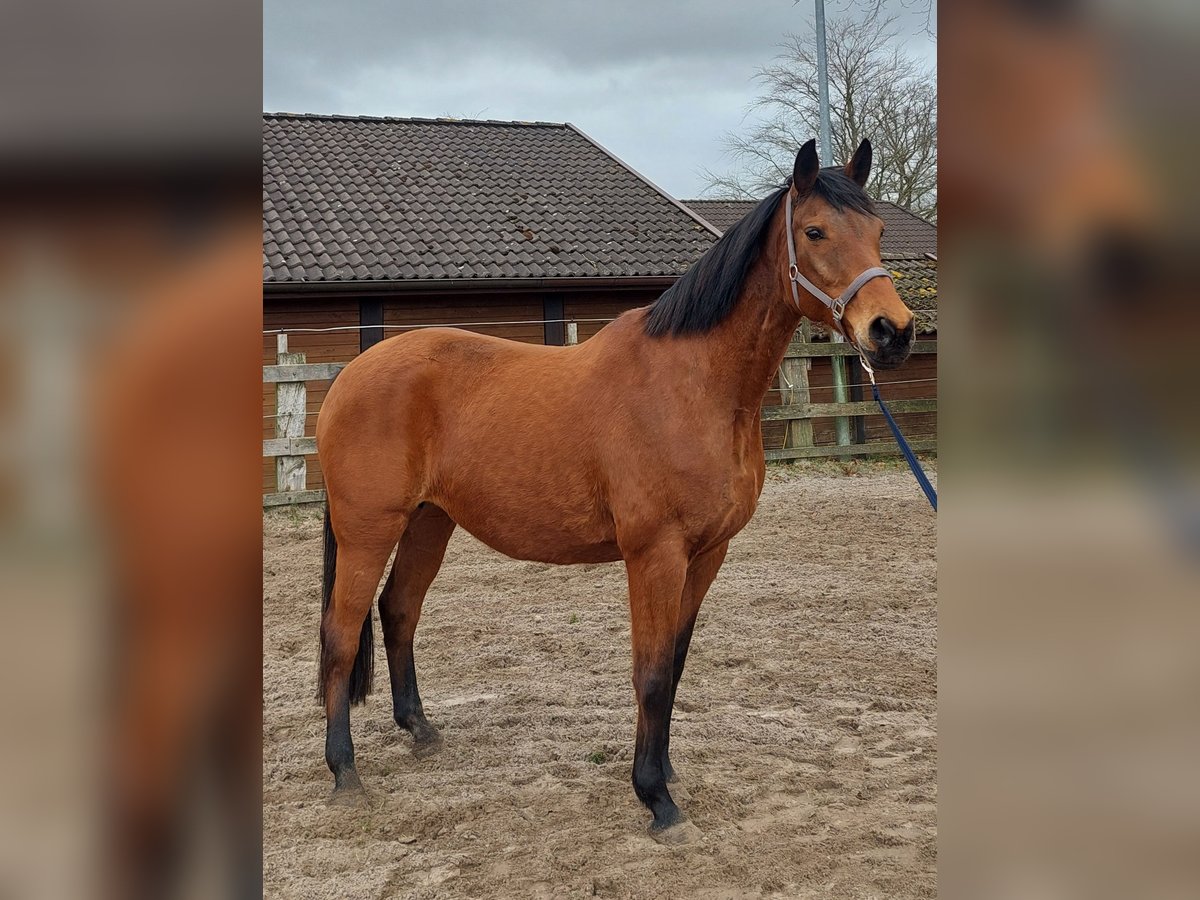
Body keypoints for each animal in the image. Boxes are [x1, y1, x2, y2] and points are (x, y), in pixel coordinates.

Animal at [314, 139, 912, 844]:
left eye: (878, 232)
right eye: (815, 231)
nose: (893, 331)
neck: (694, 384)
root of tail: (349, 375)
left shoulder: (707, 555)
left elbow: (674, 664)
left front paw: (666, 772)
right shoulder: (655, 555)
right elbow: (649, 673)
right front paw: (657, 800)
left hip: (430, 521)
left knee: (398, 610)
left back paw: (421, 731)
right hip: (368, 530)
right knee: (340, 635)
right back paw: (345, 773)